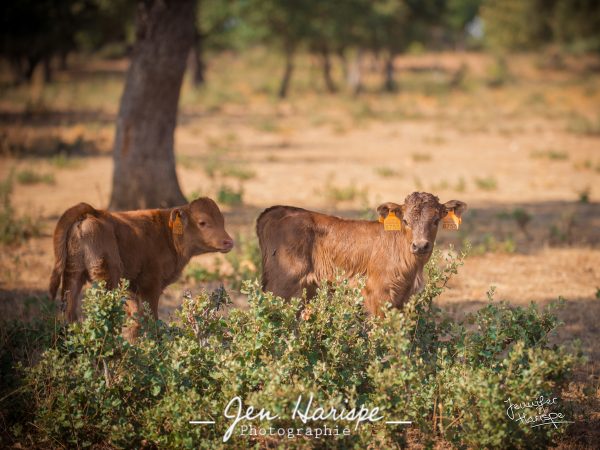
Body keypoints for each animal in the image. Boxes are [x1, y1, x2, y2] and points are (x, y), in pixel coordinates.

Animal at [49, 196, 233, 320]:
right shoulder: (150, 285)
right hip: (107, 277)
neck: (167, 233)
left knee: (68, 312)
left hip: (73, 274)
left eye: (223, 221)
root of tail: (94, 212)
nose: (229, 242)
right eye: (202, 222)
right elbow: (150, 318)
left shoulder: (133, 288)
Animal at [255, 192, 466, 314]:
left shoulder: (403, 298)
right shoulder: (377, 294)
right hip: (281, 283)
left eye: (436, 220)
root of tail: (277, 210)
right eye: (405, 220)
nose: (420, 246)